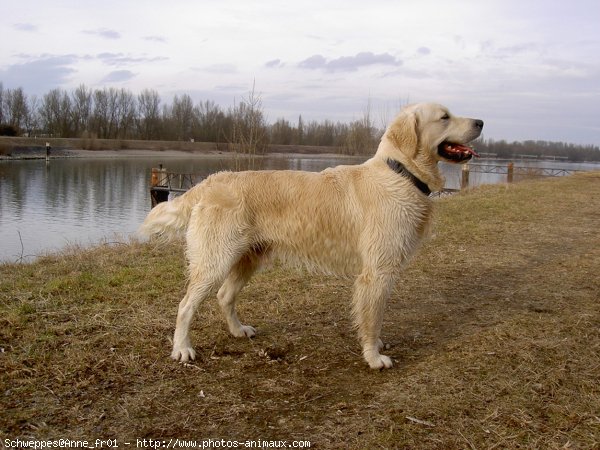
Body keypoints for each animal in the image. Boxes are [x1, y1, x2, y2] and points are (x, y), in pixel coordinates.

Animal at [141, 103, 482, 370]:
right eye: (444, 117)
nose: (480, 122)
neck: (401, 174)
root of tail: (210, 181)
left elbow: (374, 316)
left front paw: (376, 347)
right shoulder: (377, 272)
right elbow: (372, 318)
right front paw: (373, 357)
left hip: (248, 257)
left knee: (225, 296)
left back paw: (238, 331)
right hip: (216, 260)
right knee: (185, 305)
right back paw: (182, 349)